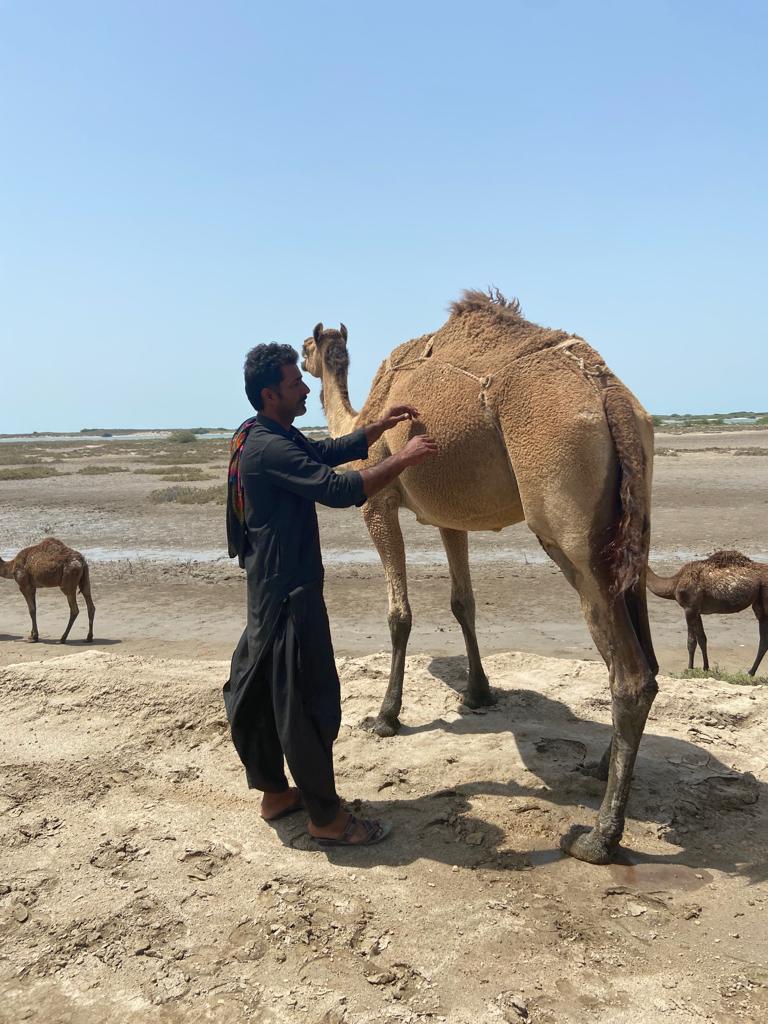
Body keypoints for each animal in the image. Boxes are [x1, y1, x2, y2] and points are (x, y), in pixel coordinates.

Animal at [301, 288, 659, 865]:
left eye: (306, 347)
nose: (302, 357)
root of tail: (612, 397)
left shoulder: (378, 502)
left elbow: (399, 614)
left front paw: (385, 717)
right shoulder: (451, 516)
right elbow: (462, 603)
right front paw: (478, 692)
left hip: (566, 515)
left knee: (629, 672)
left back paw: (599, 837)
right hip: (633, 520)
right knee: (644, 652)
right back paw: (602, 767)